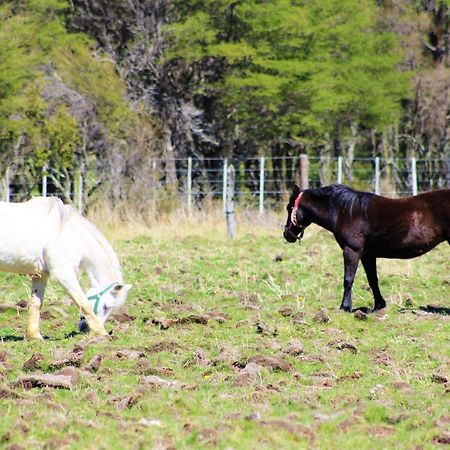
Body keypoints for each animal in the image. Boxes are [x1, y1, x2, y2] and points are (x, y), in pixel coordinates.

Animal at [0, 195, 130, 340]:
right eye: (106, 306)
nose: (85, 329)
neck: (66, 233)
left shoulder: (41, 274)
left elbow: (36, 303)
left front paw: (35, 336)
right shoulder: (63, 274)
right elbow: (83, 302)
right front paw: (103, 333)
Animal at [284, 185, 450, 312]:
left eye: (289, 208)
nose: (287, 235)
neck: (346, 212)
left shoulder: (352, 250)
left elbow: (348, 279)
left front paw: (345, 307)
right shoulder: (367, 255)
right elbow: (372, 280)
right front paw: (379, 306)